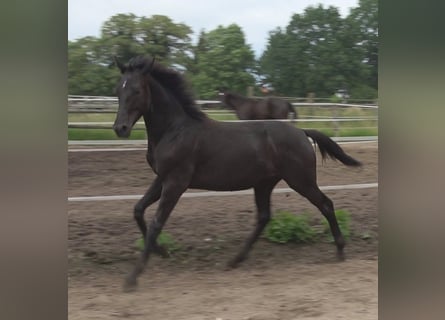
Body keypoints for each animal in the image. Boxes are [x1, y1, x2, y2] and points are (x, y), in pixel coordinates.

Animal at [111, 55, 360, 290]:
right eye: (118, 91)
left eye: (136, 90)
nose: (120, 128)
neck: (175, 130)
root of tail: (301, 132)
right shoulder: (162, 178)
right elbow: (138, 210)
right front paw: (161, 251)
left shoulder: (176, 182)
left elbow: (156, 223)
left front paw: (132, 277)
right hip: (264, 183)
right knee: (264, 217)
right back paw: (235, 260)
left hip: (301, 180)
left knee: (326, 204)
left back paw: (340, 250)